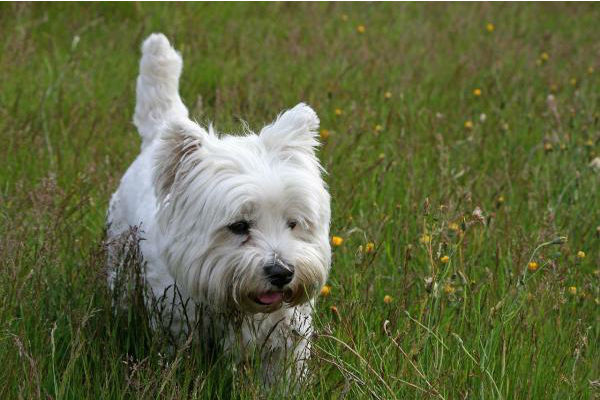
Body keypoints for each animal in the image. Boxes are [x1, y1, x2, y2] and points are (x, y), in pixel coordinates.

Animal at [108, 34, 332, 382]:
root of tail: (158, 136)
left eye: (293, 223)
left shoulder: (286, 343)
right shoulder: (178, 331)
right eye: (239, 226)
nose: (282, 272)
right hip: (121, 257)